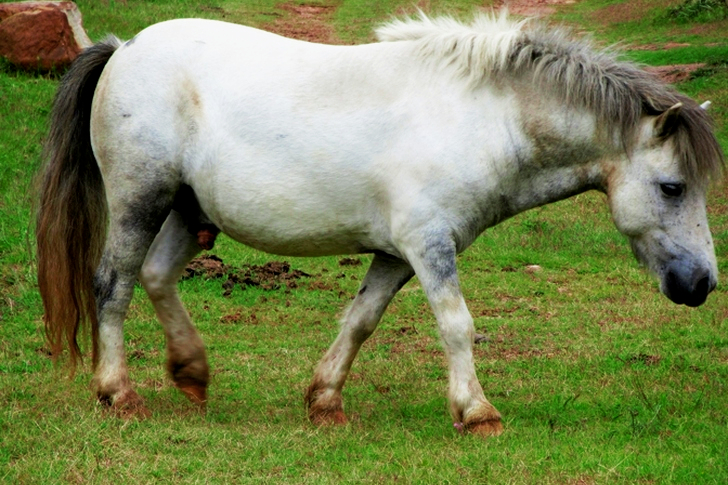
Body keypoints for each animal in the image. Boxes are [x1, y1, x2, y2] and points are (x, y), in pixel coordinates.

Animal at [36, 11, 724, 436]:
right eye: (673, 187)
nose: (702, 286)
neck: (481, 118)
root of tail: (124, 49)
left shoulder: (397, 253)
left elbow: (361, 321)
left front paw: (325, 402)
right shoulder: (429, 245)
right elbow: (456, 324)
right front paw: (476, 413)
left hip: (187, 209)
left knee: (155, 278)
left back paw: (192, 373)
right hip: (140, 200)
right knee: (113, 286)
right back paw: (118, 392)